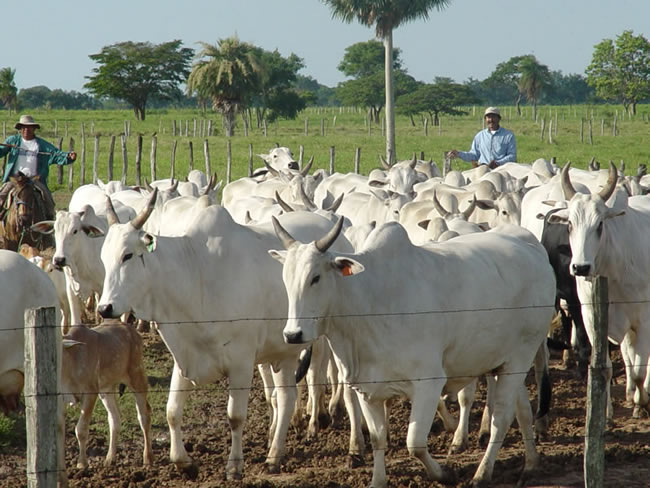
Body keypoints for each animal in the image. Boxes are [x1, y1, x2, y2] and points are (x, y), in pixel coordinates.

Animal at [94, 196, 352, 478]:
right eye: (103, 258)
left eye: (127, 255)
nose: (104, 308)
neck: (196, 274)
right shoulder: (184, 357)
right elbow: (172, 411)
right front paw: (183, 462)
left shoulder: (241, 362)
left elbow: (235, 417)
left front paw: (234, 466)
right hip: (282, 352)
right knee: (285, 398)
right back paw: (274, 455)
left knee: (320, 378)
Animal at [268, 218, 552, 488]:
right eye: (285, 280)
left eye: (315, 278)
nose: (293, 335)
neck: (368, 304)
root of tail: (535, 249)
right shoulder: (366, 387)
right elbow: (377, 438)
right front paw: (377, 481)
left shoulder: (429, 382)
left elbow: (414, 442)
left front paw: (444, 474)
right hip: (505, 363)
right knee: (522, 411)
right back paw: (531, 464)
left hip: (522, 355)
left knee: (501, 419)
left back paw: (482, 474)